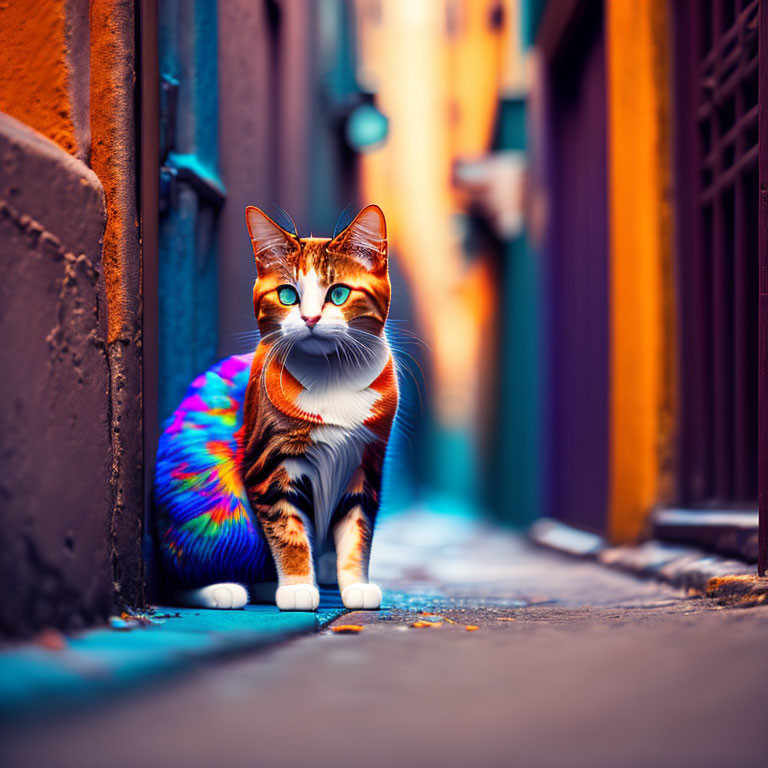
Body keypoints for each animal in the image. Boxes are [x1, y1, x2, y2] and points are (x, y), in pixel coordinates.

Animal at [154, 206, 400, 612]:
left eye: (339, 293)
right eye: (287, 295)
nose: (311, 319)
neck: (330, 376)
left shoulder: (365, 461)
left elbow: (357, 530)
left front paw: (355, 585)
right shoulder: (269, 464)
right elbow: (288, 529)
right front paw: (298, 587)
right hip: (220, 504)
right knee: (179, 576)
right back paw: (228, 590)